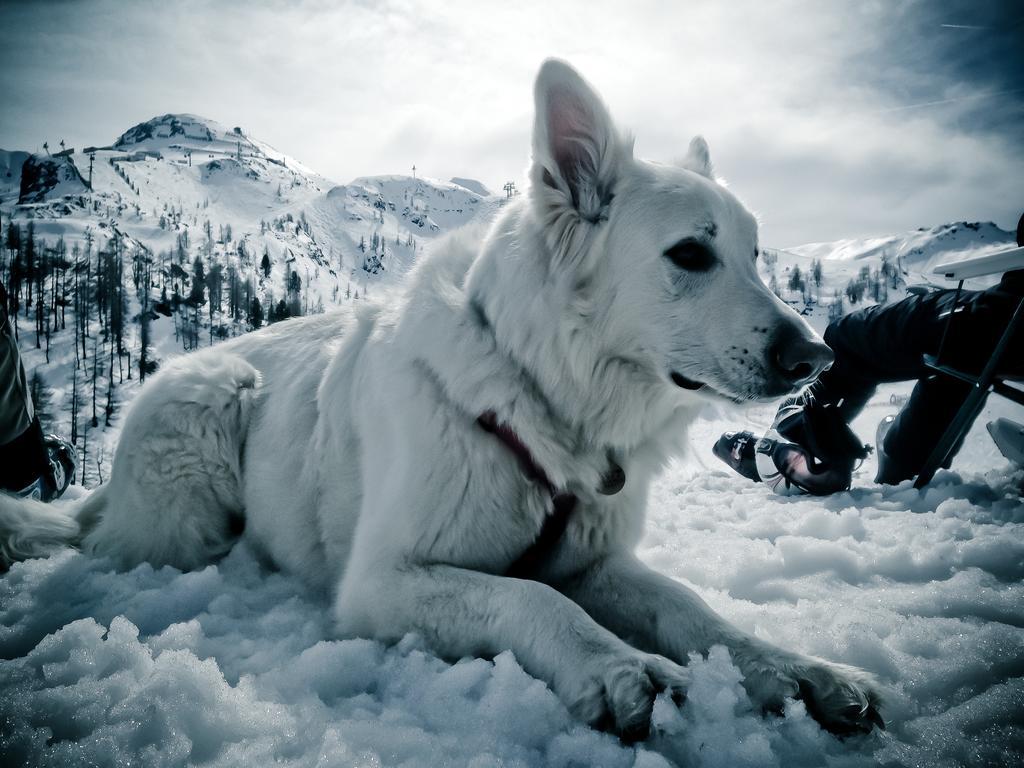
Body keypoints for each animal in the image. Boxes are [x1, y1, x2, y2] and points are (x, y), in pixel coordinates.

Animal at [2, 60, 880, 741]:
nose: (817, 356)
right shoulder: (384, 580)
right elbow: (530, 597)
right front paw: (620, 666)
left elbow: (691, 609)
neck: (538, 396)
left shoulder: (594, 561)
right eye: (691, 255)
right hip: (207, 422)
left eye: (756, 255)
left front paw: (793, 669)